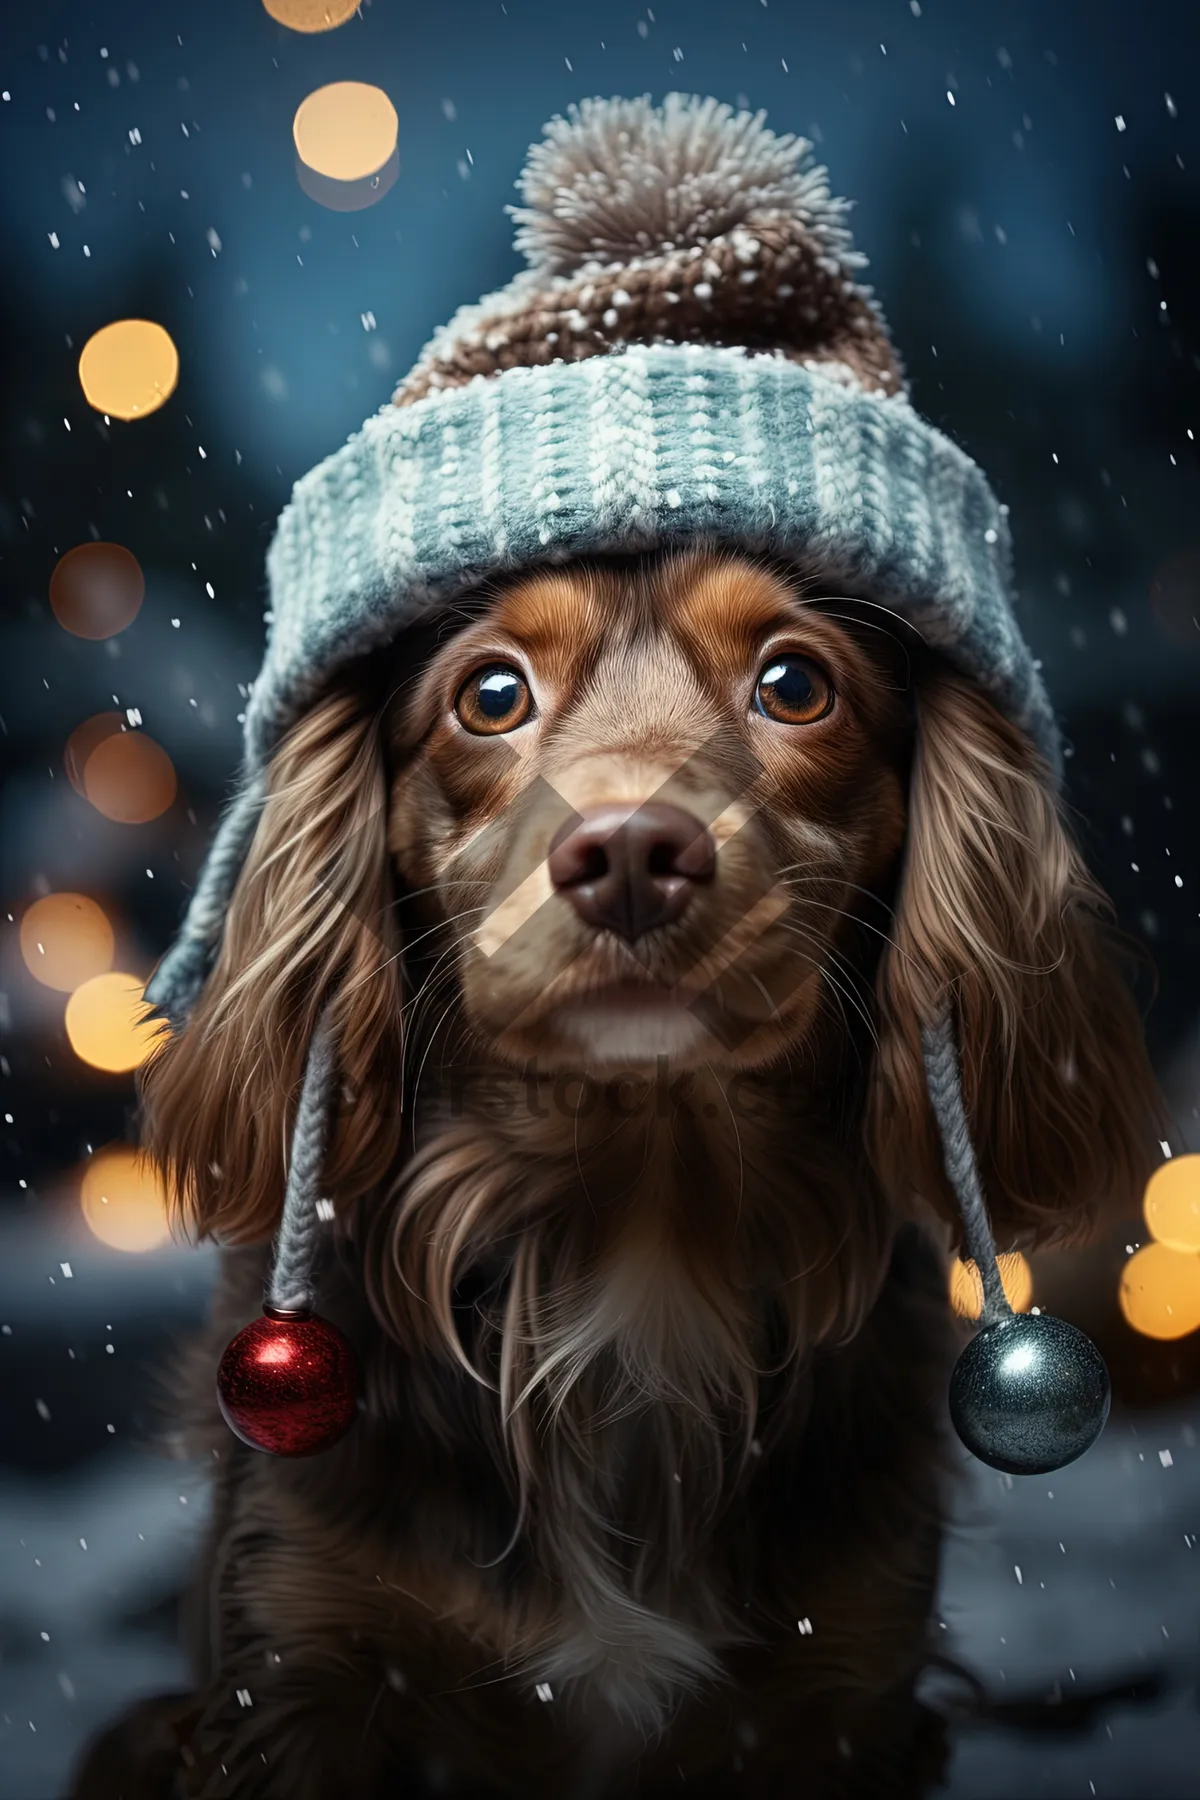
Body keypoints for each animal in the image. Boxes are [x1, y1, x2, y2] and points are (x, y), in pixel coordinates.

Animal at [72, 547, 1165, 1800]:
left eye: (796, 683)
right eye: (491, 695)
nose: (633, 854)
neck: (642, 1223)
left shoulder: (846, 1680)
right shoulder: (299, 1662)